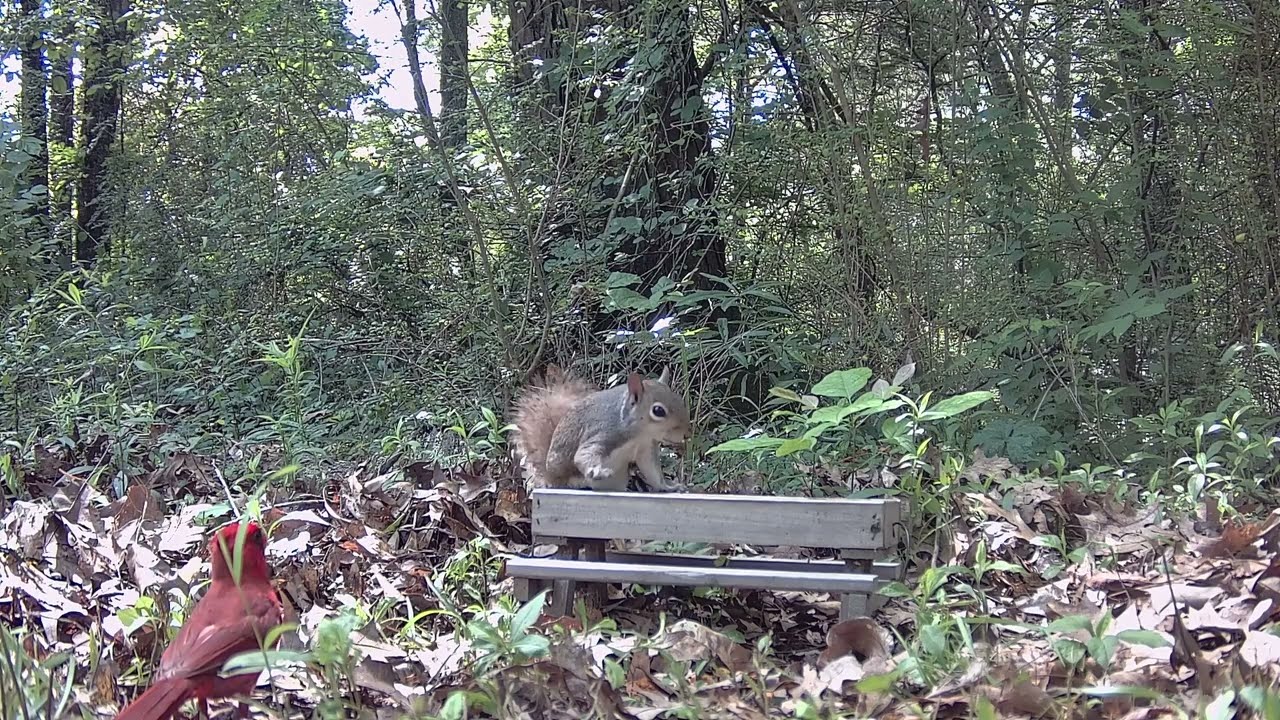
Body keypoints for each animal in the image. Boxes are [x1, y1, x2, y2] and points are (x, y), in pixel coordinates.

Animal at [511, 366, 691, 492]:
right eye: (658, 411)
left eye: (679, 399)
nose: (687, 434)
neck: (639, 434)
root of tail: (550, 478)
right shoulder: (604, 433)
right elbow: (583, 455)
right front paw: (597, 471)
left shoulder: (646, 448)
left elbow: (653, 472)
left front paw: (670, 487)